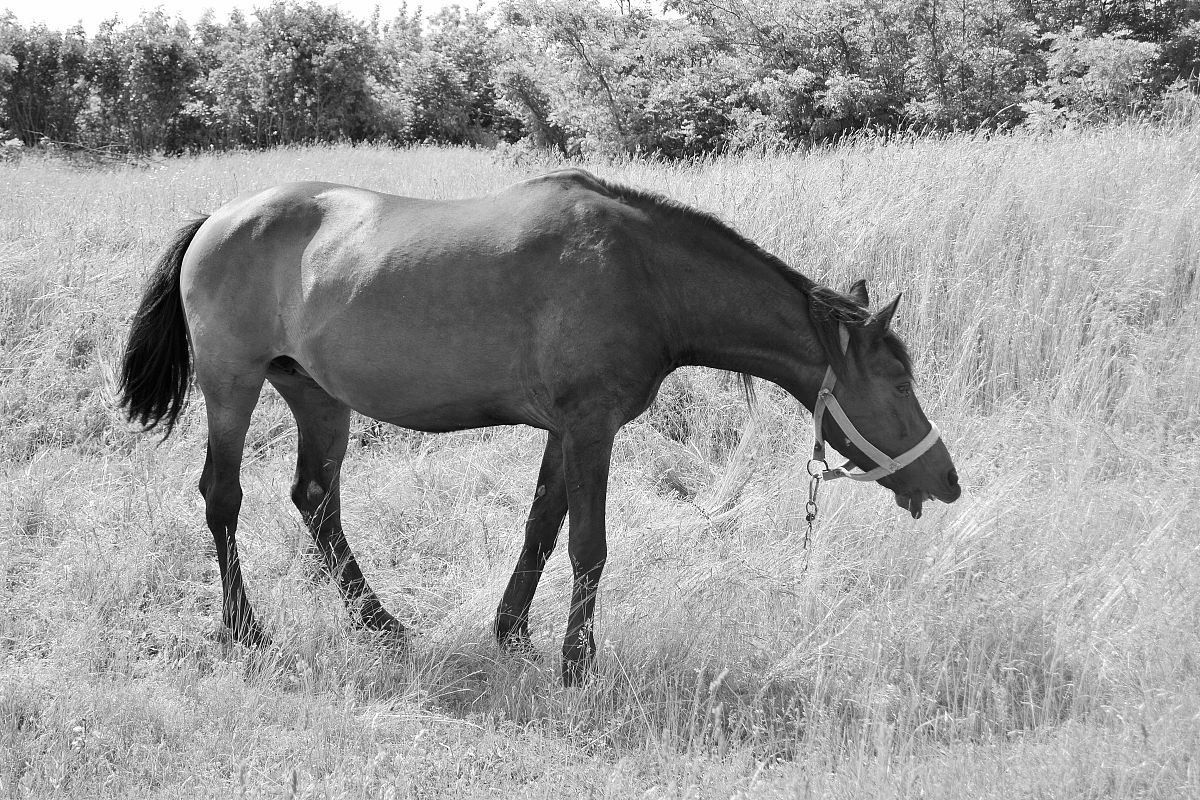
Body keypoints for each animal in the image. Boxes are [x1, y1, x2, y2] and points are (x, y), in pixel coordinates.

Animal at [118, 169, 961, 684]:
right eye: (896, 381)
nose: (947, 479)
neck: (644, 274)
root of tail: (219, 220)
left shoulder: (566, 430)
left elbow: (541, 528)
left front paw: (512, 631)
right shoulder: (592, 428)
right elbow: (590, 547)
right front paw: (577, 663)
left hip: (317, 396)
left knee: (316, 500)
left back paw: (378, 622)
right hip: (232, 384)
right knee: (223, 497)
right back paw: (243, 628)